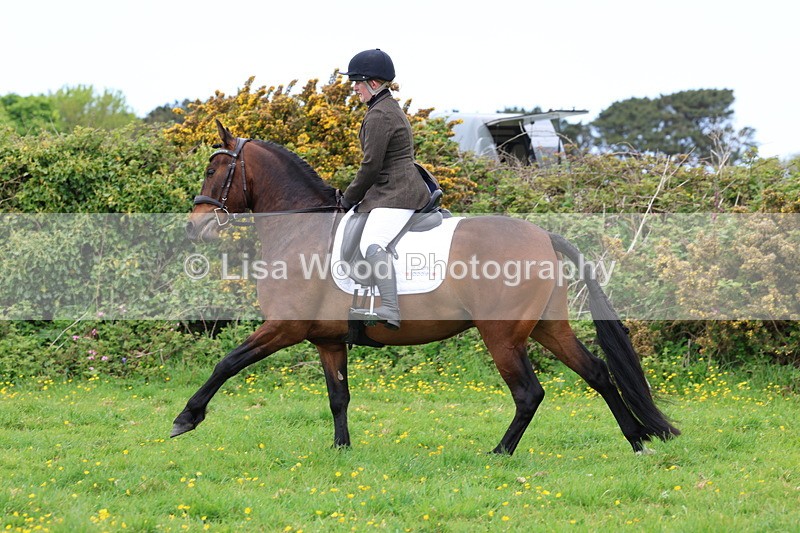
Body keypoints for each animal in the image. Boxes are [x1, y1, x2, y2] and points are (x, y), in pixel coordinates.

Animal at [171, 120, 679, 455]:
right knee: (597, 372)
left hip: (501, 336)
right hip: (547, 327)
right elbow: (338, 397)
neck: (299, 229)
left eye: (213, 172)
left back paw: (500, 454)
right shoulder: (327, 340)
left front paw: (186, 418)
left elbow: (227, 362)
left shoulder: (285, 327)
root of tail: (542, 236)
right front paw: (341, 450)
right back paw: (637, 441)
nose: (194, 228)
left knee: (529, 393)